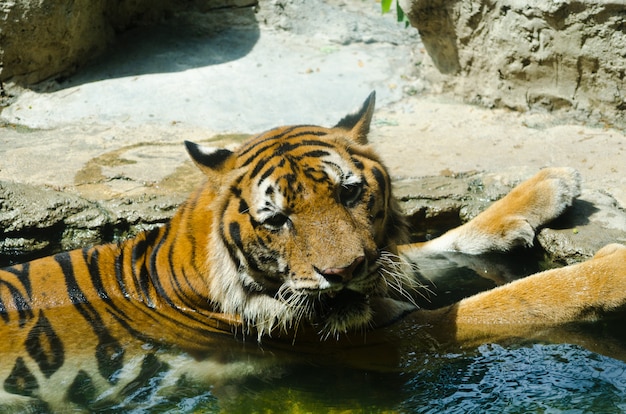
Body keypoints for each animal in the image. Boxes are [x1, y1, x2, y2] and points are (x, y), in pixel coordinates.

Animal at [1, 92, 624, 412]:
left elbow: (445, 242)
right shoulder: (383, 341)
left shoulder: (383, 271)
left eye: (348, 192)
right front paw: (612, 268)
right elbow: (516, 299)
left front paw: (549, 185)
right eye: (276, 220)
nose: (343, 272)